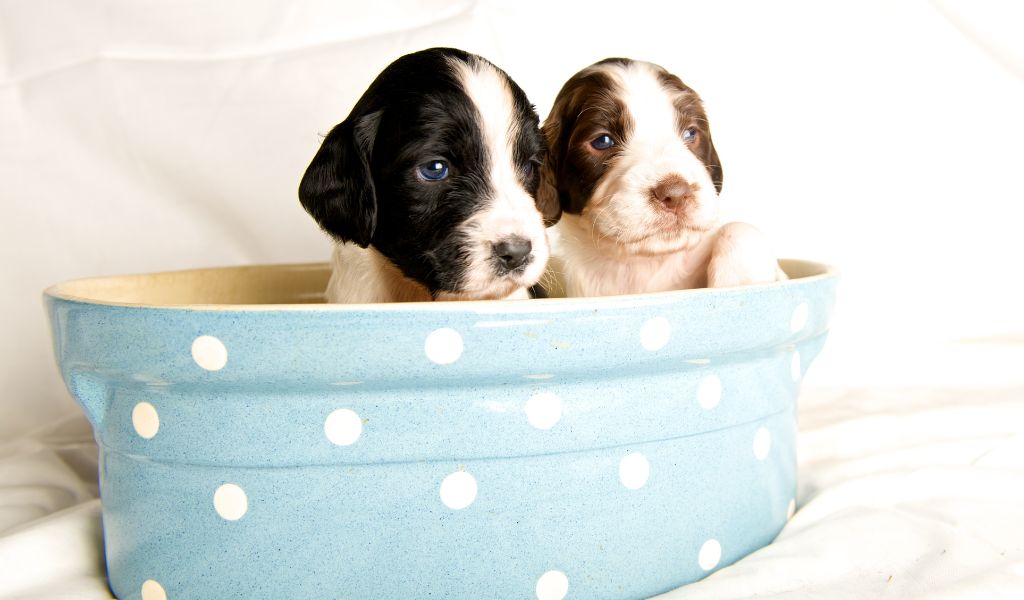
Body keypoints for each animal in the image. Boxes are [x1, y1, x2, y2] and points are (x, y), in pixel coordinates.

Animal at [536, 58, 782, 296]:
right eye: (602, 141)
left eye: (690, 133)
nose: (675, 194)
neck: (647, 264)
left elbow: (740, 229)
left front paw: (741, 283)